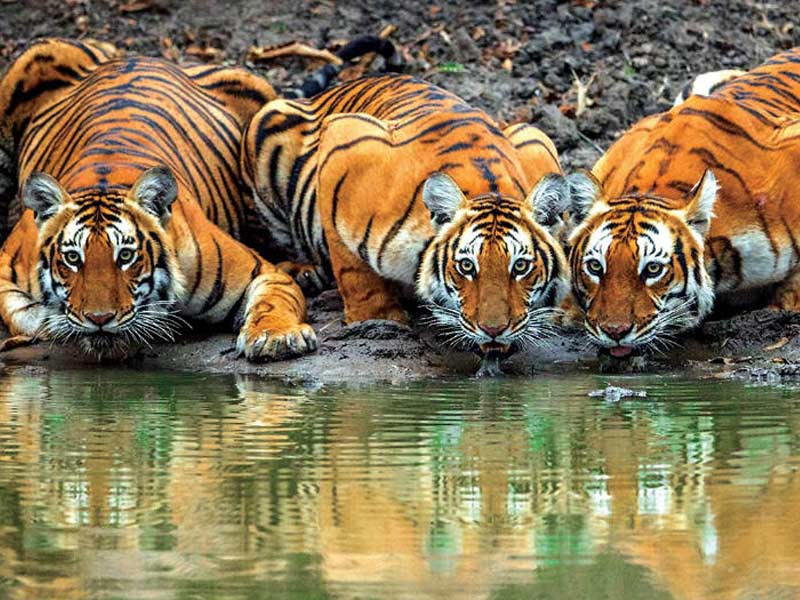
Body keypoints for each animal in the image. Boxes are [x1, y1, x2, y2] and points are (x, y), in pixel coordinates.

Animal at [0, 38, 322, 360]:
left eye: (126, 256)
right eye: (72, 258)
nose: (99, 318)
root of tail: (136, 56)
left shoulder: (260, 272)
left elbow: (273, 301)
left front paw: (276, 337)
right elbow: (29, 315)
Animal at [240, 74, 569, 357]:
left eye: (521, 266)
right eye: (466, 266)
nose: (494, 330)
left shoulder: (538, 145)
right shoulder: (343, 143)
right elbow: (354, 271)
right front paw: (379, 321)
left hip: (530, 131)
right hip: (266, 129)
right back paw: (305, 272)